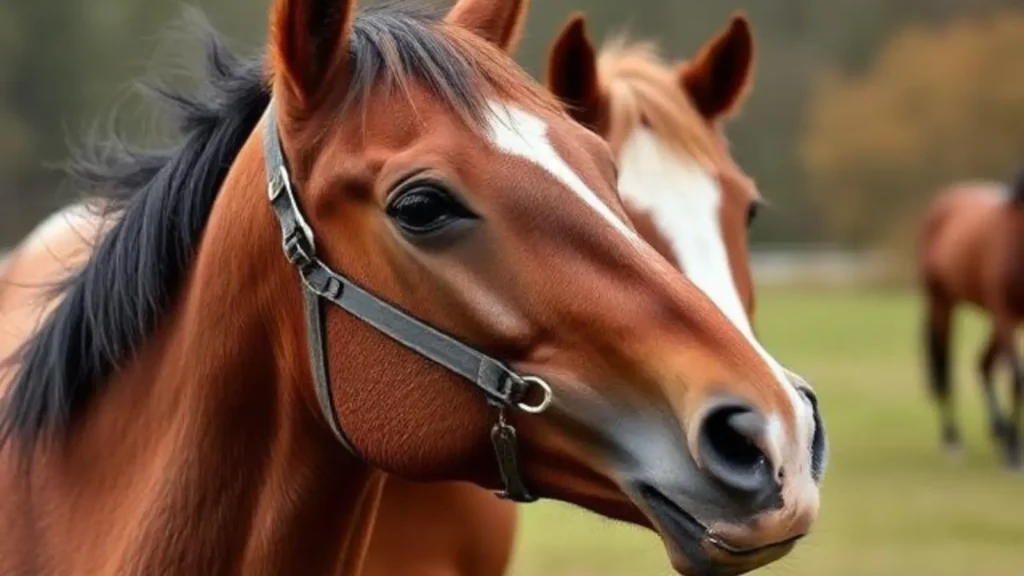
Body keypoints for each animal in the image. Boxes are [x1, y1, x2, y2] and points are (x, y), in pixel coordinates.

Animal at [920, 169, 1024, 470]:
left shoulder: (1008, 317)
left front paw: (1010, 442)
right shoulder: (1004, 312)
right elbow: (1017, 377)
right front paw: (1014, 450)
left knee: (984, 363)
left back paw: (998, 430)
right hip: (942, 303)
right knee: (945, 368)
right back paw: (953, 439)